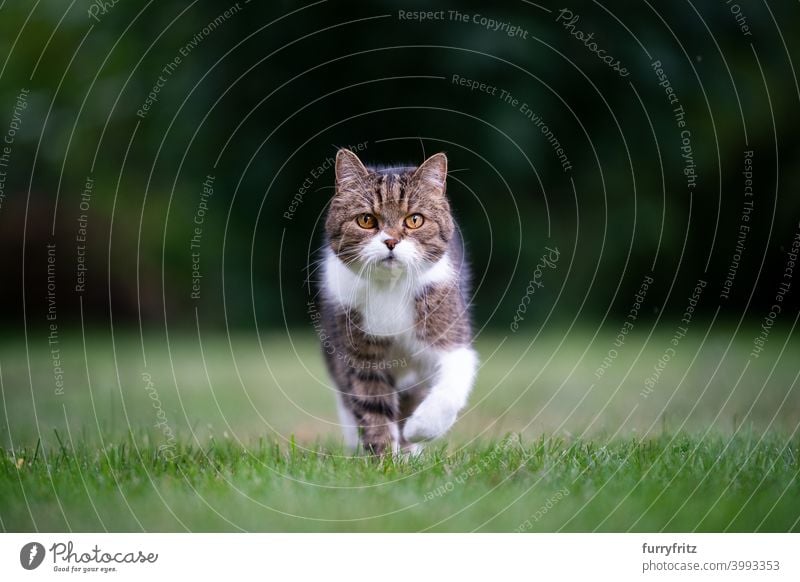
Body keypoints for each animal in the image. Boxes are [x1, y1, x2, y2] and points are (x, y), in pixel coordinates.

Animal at [318, 149, 476, 456]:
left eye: (414, 220)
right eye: (366, 220)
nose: (391, 241)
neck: (390, 287)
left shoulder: (450, 335)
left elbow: (452, 383)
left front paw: (418, 429)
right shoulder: (359, 356)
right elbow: (372, 407)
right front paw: (383, 459)